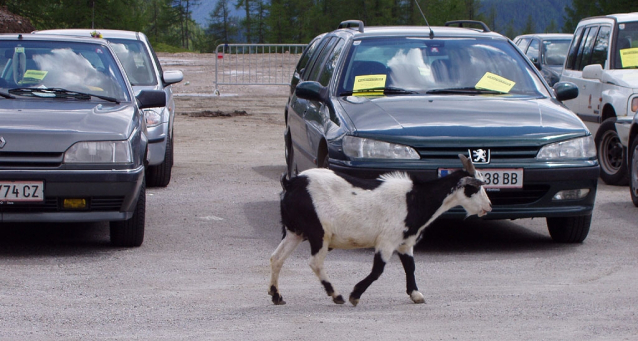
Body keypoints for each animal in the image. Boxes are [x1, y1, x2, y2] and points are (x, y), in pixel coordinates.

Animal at [268, 154, 492, 306]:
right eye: (475, 188)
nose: (488, 206)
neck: (415, 199)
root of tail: (290, 183)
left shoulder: (404, 242)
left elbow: (410, 266)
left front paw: (416, 294)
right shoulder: (387, 241)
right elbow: (378, 270)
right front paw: (355, 295)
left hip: (294, 231)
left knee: (276, 258)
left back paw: (276, 295)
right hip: (318, 232)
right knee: (315, 262)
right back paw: (337, 295)